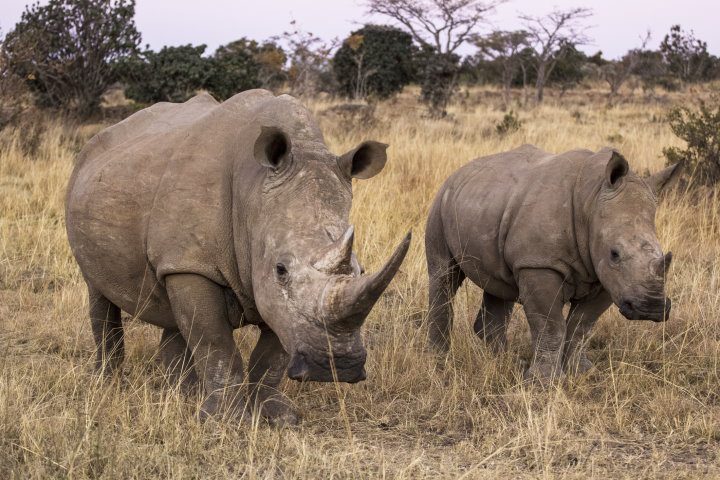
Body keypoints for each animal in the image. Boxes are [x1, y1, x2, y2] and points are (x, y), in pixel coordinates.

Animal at [66, 90, 410, 424]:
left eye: (360, 270)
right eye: (281, 269)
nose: (336, 366)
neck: (253, 192)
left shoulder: (266, 287)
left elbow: (272, 354)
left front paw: (278, 416)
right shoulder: (195, 265)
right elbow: (215, 343)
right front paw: (226, 421)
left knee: (172, 308)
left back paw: (182, 394)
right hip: (88, 185)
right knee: (98, 294)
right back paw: (109, 381)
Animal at [428, 144, 680, 380]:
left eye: (663, 254)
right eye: (614, 254)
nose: (652, 308)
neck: (592, 201)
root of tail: (460, 170)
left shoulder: (607, 278)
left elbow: (582, 326)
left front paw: (582, 372)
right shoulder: (539, 263)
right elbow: (550, 324)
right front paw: (544, 382)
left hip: (489, 205)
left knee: (499, 286)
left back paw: (504, 362)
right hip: (441, 202)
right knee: (443, 276)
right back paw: (439, 359)